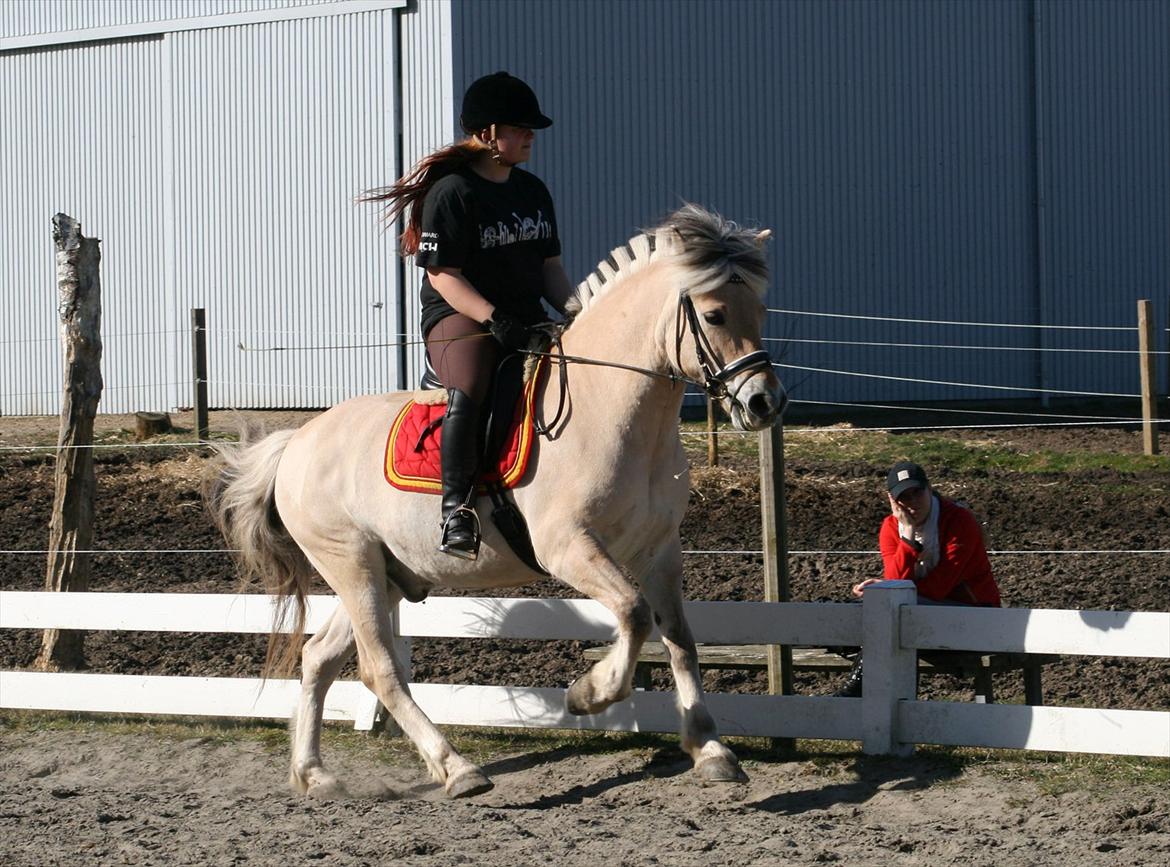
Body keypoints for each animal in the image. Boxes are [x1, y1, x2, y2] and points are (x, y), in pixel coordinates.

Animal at [209, 202, 786, 800]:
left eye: (759, 309)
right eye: (715, 315)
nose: (766, 403)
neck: (611, 412)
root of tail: (297, 441)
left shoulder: (659, 549)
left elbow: (680, 638)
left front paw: (710, 748)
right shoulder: (567, 547)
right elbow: (632, 612)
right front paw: (590, 694)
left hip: (383, 574)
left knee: (320, 656)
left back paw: (316, 774)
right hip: (351, 564)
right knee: (379, 669)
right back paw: (458, 769)